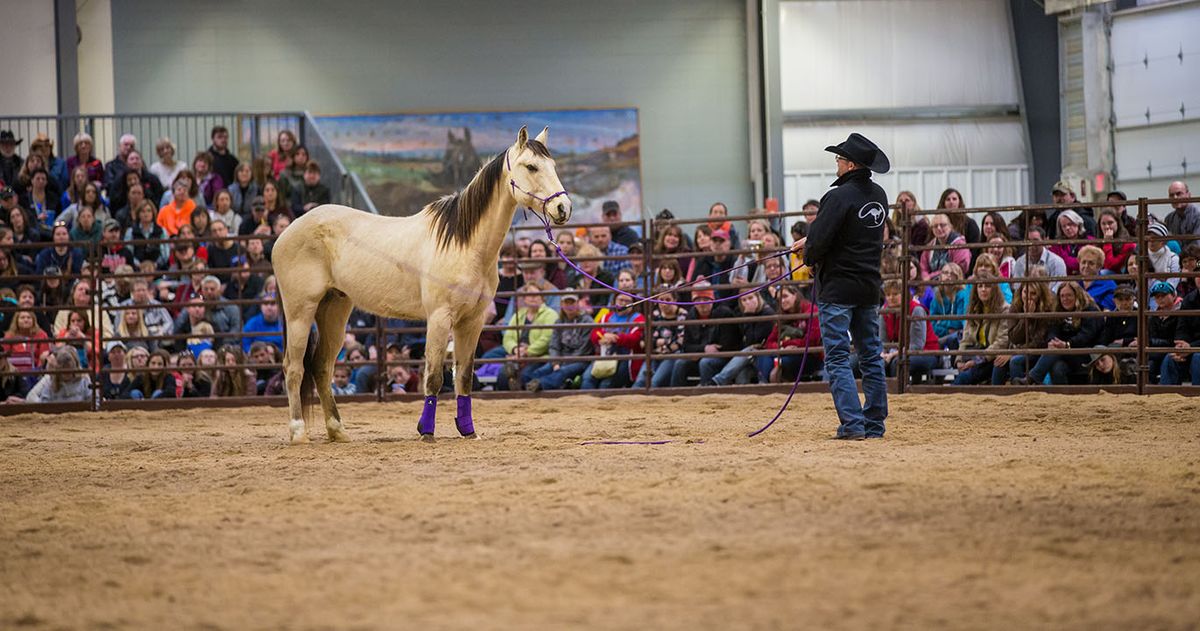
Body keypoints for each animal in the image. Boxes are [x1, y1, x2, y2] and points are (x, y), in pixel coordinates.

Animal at [272, 126, 571, 444]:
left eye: (553, 166)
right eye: (531, 166)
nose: (563, 207)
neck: (464, 244)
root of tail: (287, 232)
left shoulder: (472, 321)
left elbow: (464, 376)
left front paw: (468, 430)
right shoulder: (439, 318)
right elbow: (435, 377)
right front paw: (426, 431)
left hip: (334, 309)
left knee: (321, 367)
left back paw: (338, 431)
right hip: (300, 312)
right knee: (293, 367)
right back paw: (298, 432)